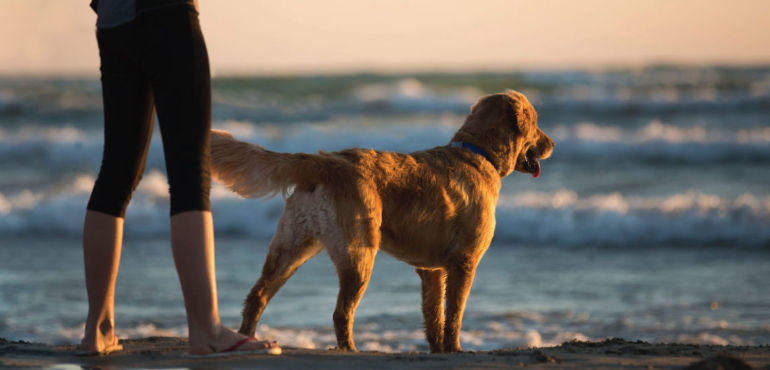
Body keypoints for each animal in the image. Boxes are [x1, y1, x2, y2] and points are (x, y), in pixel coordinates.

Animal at [208, 89, 552, 352]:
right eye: (536, 123)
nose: (552, 144)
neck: (478, 153)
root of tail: (326, 161)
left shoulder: (431, 270)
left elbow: (434, 316)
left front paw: (437, 349)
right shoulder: (464, 261)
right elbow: (454, 313)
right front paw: (454, 349)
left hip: (292, 247)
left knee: (257, 296)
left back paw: (247, 339)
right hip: (359, 254)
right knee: (340, 313)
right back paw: (349, 349)